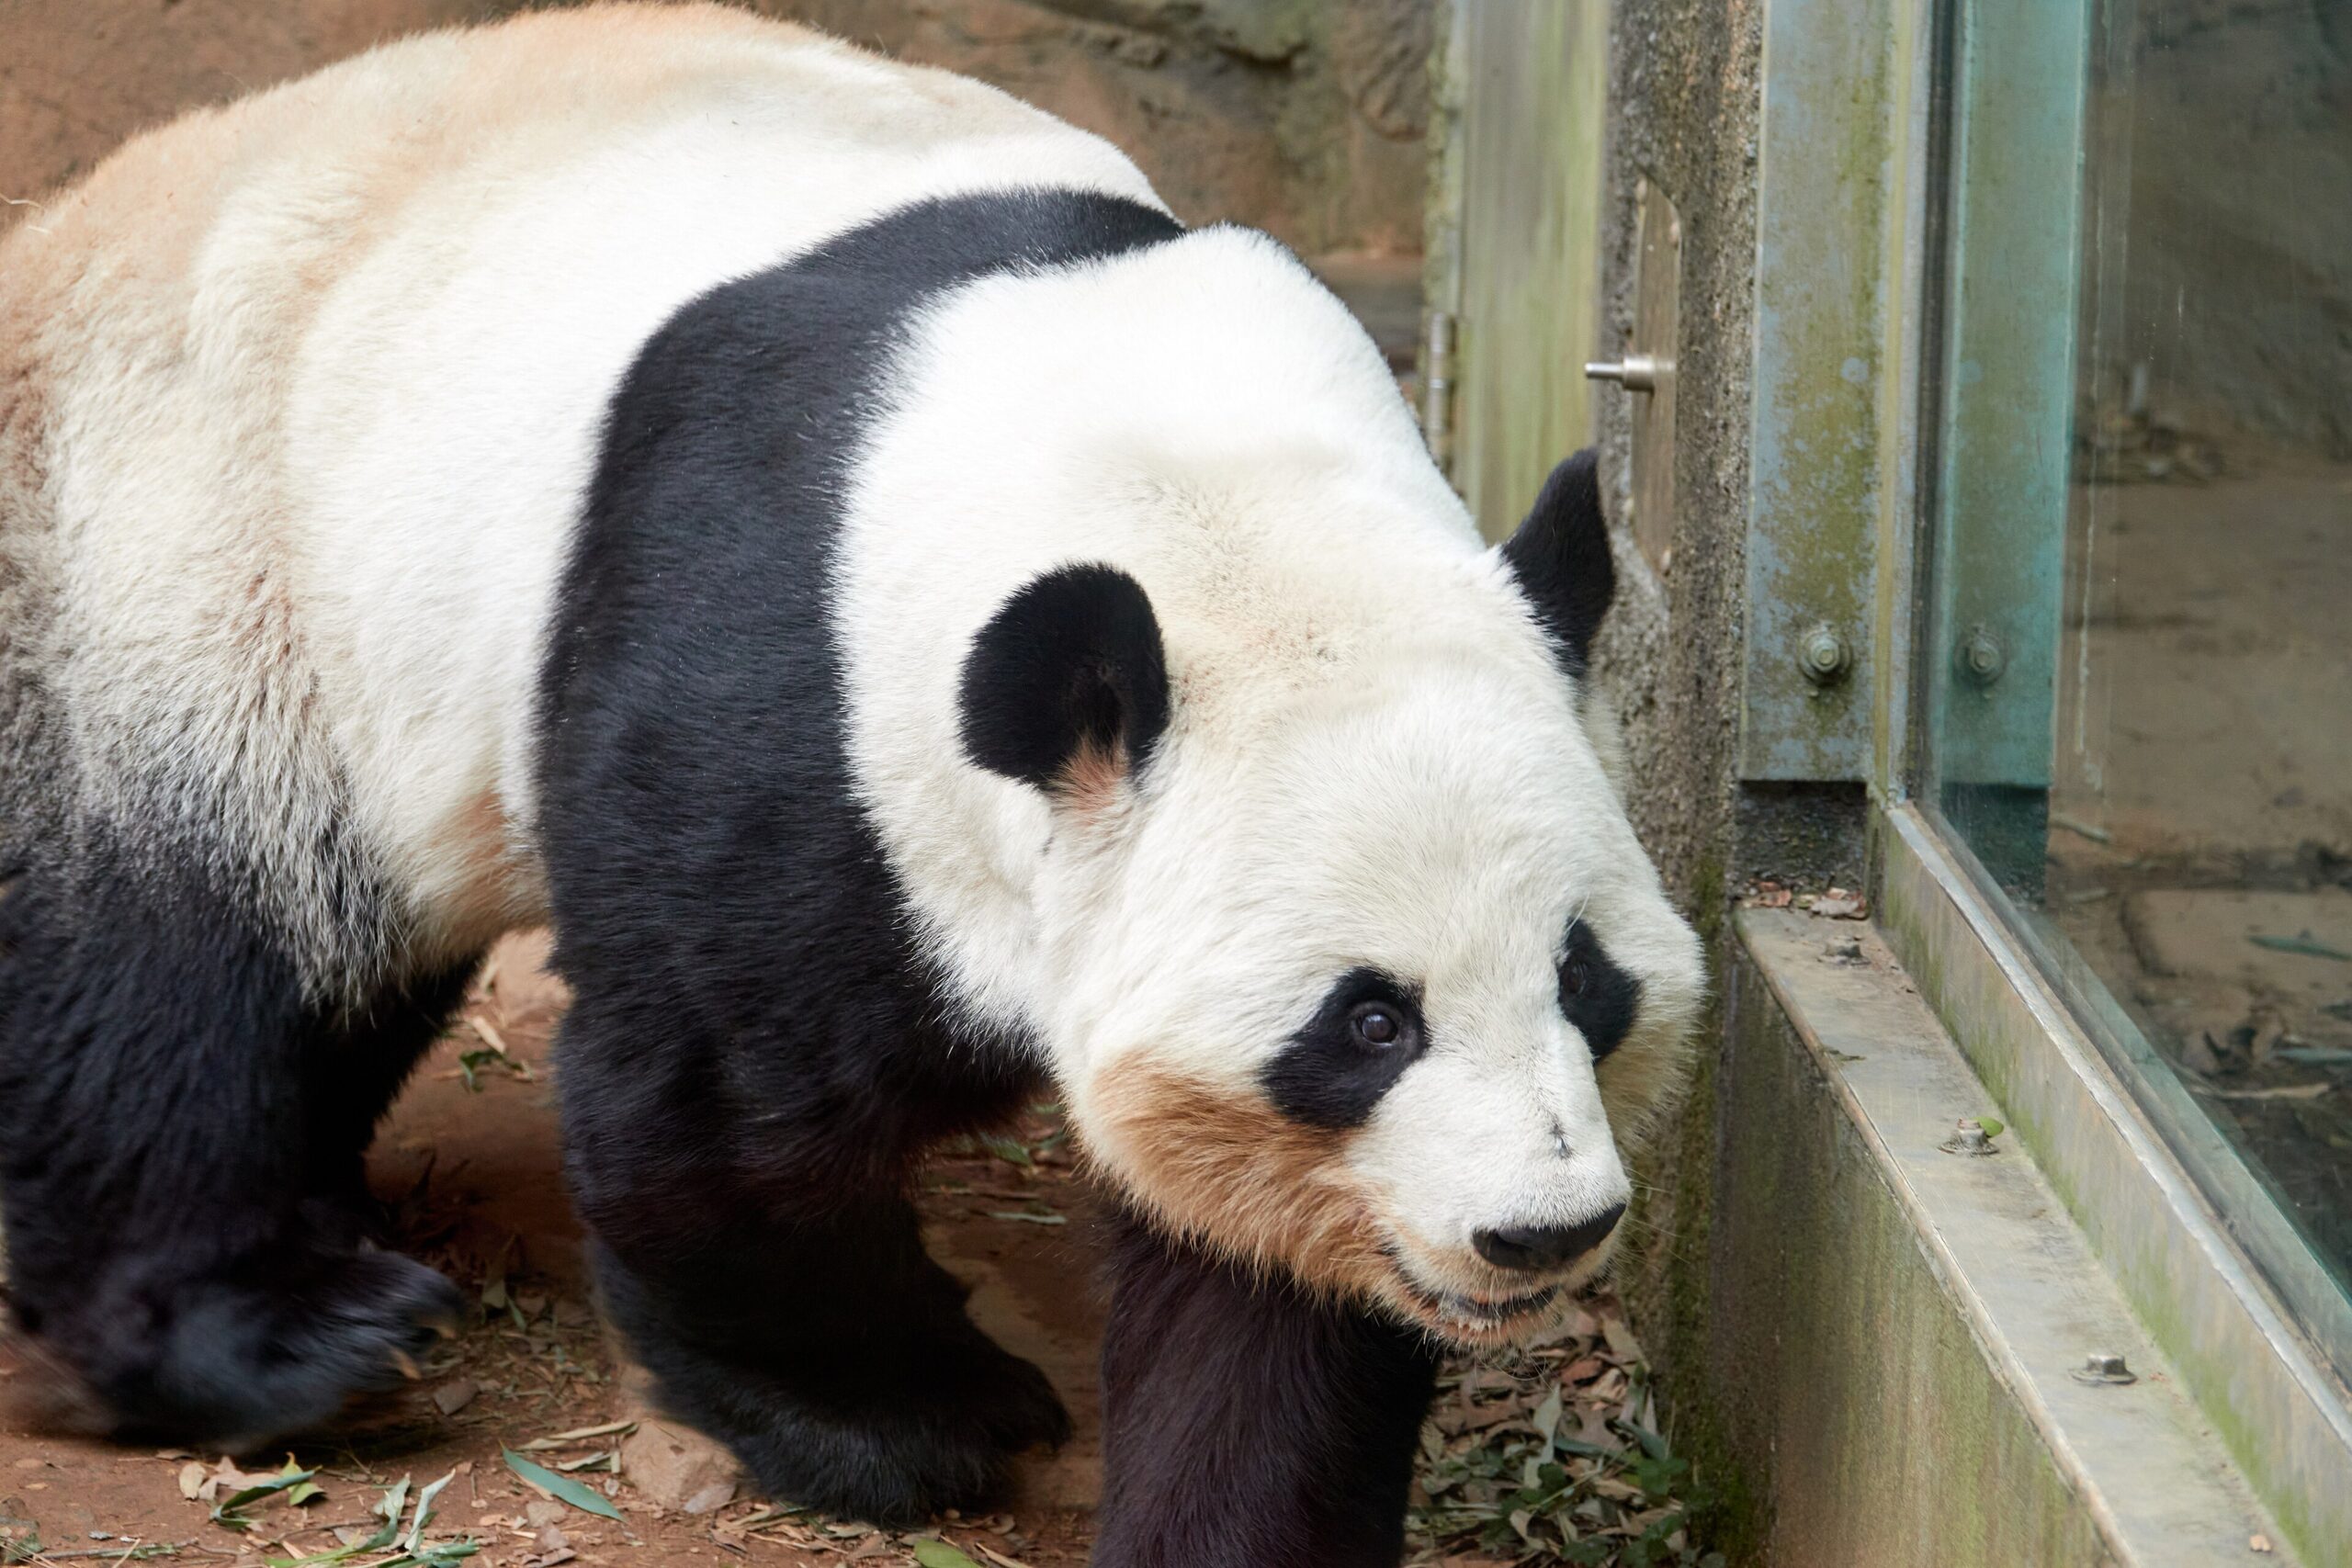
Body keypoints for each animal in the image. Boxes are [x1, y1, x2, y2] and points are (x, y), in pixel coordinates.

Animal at [0, 6, 1704, 1565]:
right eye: (1367, 1021)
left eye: (1585, 976)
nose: (1542, 1228)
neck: (1195, 487)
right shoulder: (772, 690)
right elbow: (713, 1106)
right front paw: (907, 1419)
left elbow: (1269, 1277)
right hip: (194, 573)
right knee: (167, 995)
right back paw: (293, 1333)